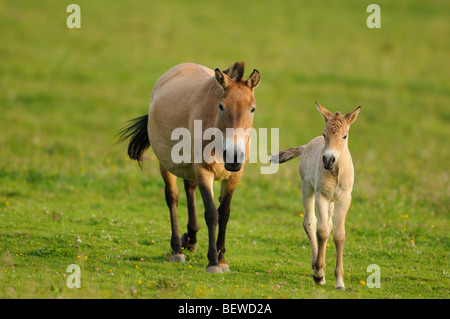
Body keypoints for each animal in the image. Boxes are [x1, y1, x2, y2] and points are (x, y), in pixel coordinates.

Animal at [118, 62, 262, 276]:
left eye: (252, 109)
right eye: (221, 106)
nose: (233, 156)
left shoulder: (233, 177)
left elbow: (224, 214)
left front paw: (222, 258)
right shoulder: (203, 172)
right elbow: (211, 213)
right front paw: (213, 261)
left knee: (189, 190)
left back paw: (190, 239)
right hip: (166, 165)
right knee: (173, 198)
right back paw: (177, 248)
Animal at [270, 102, 362, 290]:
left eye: (345, 136)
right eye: (325, 134)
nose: (328, 160)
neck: (336, 172)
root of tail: (306, 145)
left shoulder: (344, 199)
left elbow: (338, 234)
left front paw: (339, 281)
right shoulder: (322, 196)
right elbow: (322, 231)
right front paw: (319, 273)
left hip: (332, 201)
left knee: (328, 223)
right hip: (307, 187)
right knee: (310, 222)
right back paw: (317, 269)